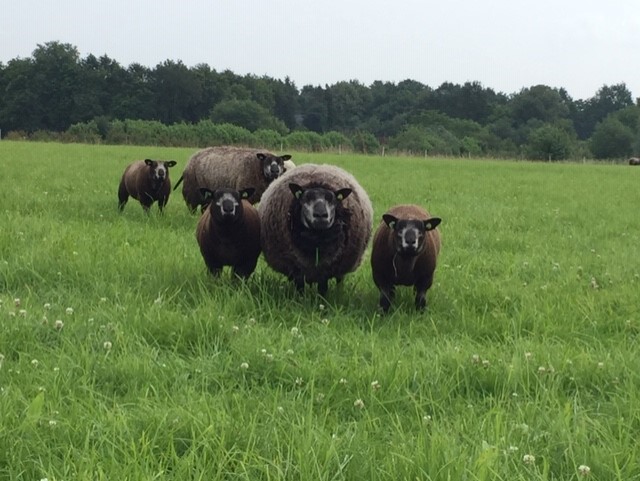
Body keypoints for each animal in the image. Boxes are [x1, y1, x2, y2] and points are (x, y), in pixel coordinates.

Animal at [258, 163, 372, 294]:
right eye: (305, 199)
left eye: (332, 200)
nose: (321, 215)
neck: (317, 240)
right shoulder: (297, 269)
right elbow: (300, 287)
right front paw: (299, 298)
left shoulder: (324, 271)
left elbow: (322, 289)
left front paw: (322, 298)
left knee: (340, 279)